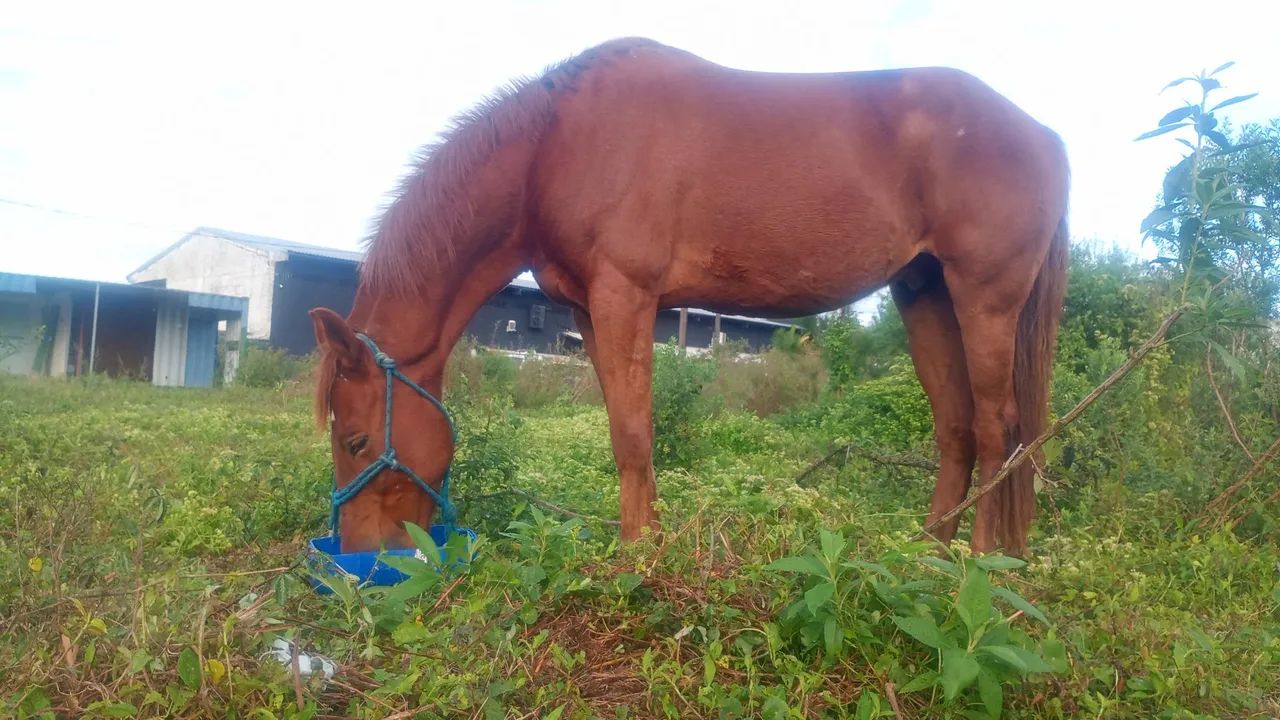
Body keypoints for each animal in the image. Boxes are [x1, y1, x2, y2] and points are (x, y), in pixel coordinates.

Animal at [310, 37, 1069, 556]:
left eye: (354, 439)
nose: (359, 554)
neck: (556, 145)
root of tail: (1042, 135)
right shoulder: (589, 308)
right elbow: (625, 426)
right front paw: (644, 539)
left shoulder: (627, 294)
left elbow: (633, 432)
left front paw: (638, 554)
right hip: (924, 295)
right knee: (958, 430)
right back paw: (925, 554)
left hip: (984, 298)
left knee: (1000, 429)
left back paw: (977, 564)